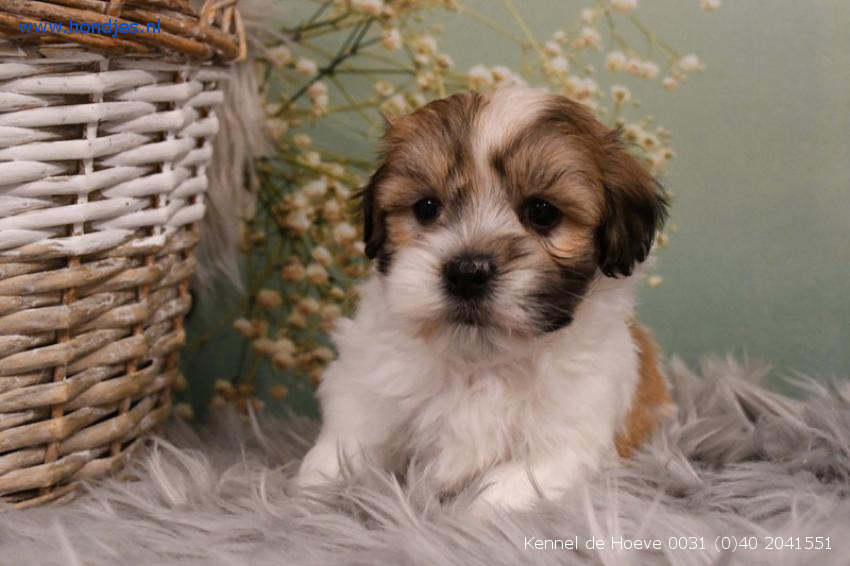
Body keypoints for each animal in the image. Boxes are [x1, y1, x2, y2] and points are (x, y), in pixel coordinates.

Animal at [294, 86, 672, 512]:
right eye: (426, 208)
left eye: (542, 212)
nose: (467, 272)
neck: (480, 363)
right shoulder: (365, 393)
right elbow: (342, 450)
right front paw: (312, 497)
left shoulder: (565, 443)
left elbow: (496, 496)